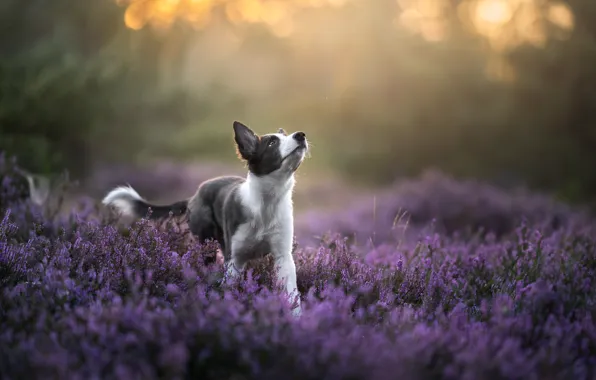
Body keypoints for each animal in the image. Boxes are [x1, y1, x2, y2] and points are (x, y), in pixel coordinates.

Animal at [101, 121, 308, 314]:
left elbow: (292, 293)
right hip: (206, 243)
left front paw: (296, 318)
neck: (266, 202)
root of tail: (194, 196)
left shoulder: (283, 257)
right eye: (272, 142)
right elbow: (229, 288)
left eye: (286, 136)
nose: (301, 135)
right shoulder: (234, 259)